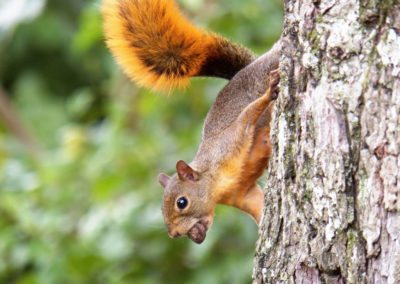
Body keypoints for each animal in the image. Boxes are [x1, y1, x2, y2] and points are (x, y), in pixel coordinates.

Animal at [102, 0, 282, 244]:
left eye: (182, 202)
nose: (175, 234)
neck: (218, 184)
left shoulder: (228, 143)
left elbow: (247, 116)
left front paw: (268, 95)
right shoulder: (243, 194)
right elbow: (258, 206)